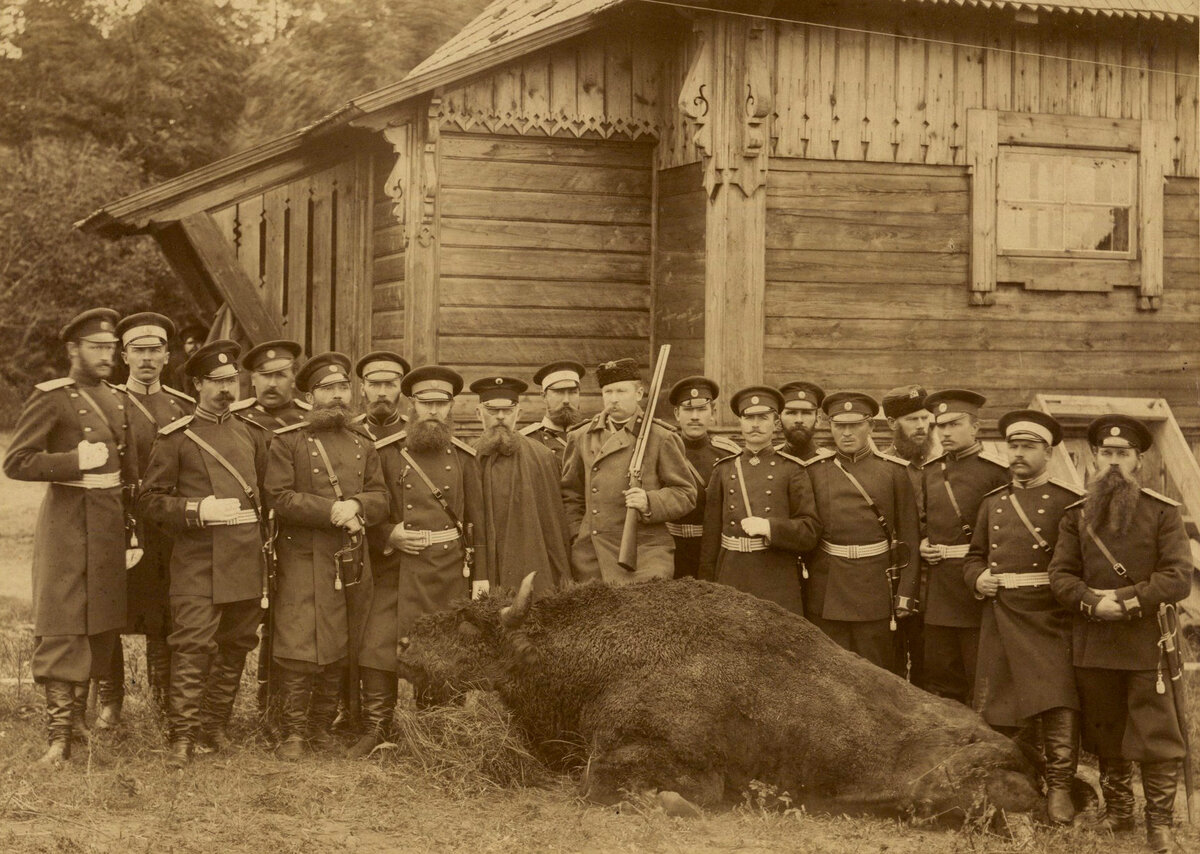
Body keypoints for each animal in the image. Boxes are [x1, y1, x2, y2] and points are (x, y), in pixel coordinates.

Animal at [396, 578, 1041, 815]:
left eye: (470, 629)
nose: (404, 641)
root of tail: (1022, 759)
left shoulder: (660, 754)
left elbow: (603, 785)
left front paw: (671, 804)